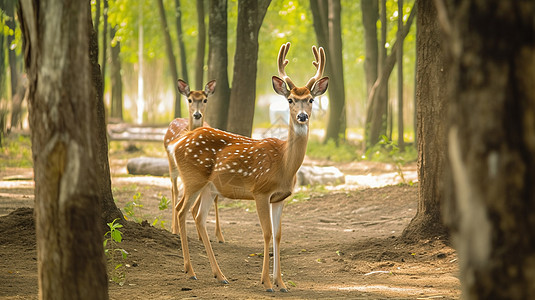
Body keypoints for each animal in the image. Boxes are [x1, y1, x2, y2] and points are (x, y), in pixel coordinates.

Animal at [161, 78, 224, 243]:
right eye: (189, 100)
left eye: (204, 100)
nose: (197, 114)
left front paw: (217, 235)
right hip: (172, 164)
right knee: (174, 190)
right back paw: (175, 228)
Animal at [168, 42, 328, 292]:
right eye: (290, 100)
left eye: (311, 99)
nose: (302, 116)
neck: (284, 164)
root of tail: (177, 143)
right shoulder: (260, 191)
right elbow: (266, 233)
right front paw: (266, 283)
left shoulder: (280, 197)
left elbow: (278, 235)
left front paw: (281, 283)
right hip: (193, 178)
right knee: (181, 209)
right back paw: (191, 271)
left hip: (209, 187)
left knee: (198, 216)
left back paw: (219, 275)